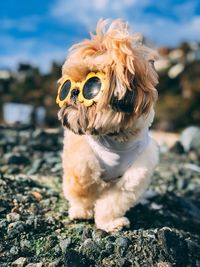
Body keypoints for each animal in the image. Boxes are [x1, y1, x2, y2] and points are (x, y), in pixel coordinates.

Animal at [56, 18, 159, 232]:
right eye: (67, 86)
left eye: (92, 87)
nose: (74, 92)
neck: (115, 139)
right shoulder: (81, 166)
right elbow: (83, 193)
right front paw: (82, 211)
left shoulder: (131, 179)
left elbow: (112, 203)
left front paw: (109, 222)